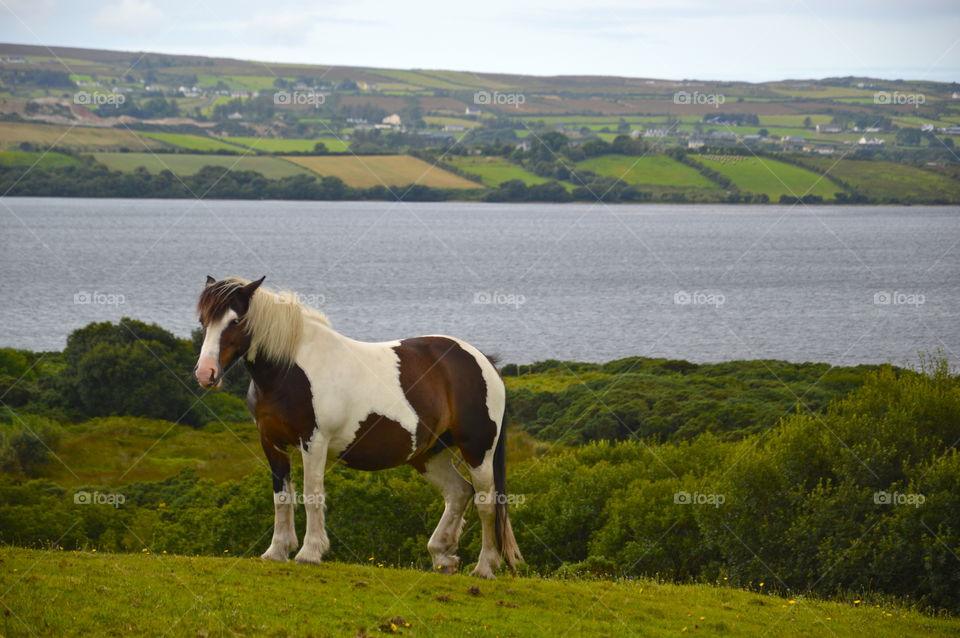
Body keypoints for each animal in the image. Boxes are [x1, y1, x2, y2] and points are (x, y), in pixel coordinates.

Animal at [195, 276, 520, 580]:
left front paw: (310, 552)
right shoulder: (272, 442)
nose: (205, 373)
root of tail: (482, 361)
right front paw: (276, 551)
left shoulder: (313, 441)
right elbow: (282, 496)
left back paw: (484, 567)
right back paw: (442, 556)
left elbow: (312, 493)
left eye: (236, 321)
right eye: (204, 321)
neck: (290, 370)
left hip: (478, 449)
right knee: (458, 492)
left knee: (486, 502)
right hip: (429, 454)